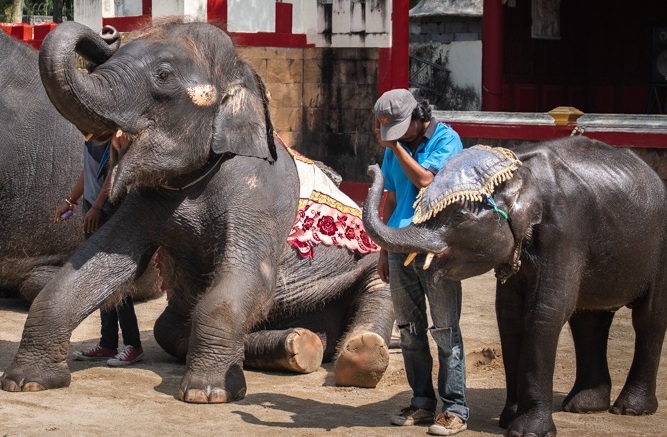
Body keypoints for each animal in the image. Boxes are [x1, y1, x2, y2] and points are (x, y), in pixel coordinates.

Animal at [0, 20, 394, 402]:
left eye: (162, 75)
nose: (108, 32)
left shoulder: (259, 193)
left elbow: (248, 274)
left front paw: (207, 393)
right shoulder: (145, 200)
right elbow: (98, 262)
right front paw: (26, 381)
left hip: (364, 266)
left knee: (379, 288)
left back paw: (359, 355)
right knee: (169, 328)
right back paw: (297, 345)